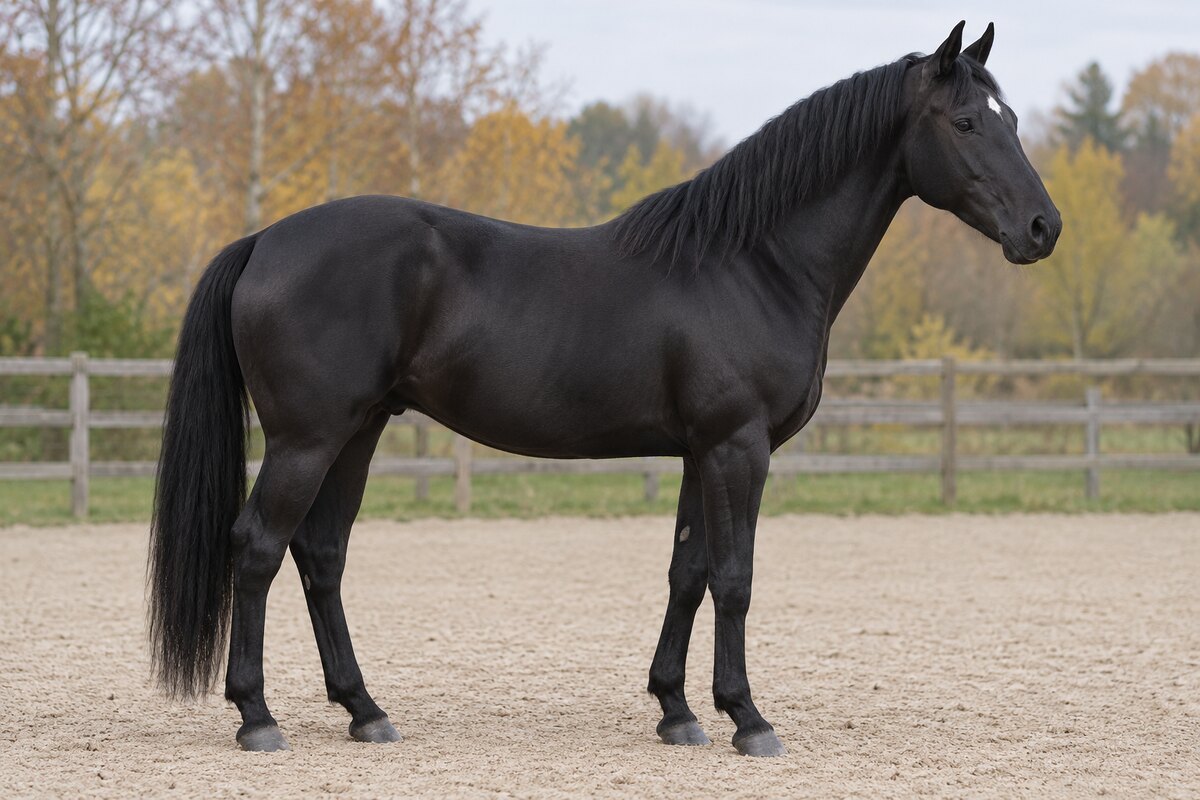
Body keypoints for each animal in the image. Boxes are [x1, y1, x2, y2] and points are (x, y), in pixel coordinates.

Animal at [149, 21, 1060, 757]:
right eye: (967, 121)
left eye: (1012, 118)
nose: (1043, 228)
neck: (753, 261)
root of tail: (265, 239)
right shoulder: (738, 446)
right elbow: (735, 577)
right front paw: (748, 719)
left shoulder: (700, 450)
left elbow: (688, 572)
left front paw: (677, 712)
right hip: (307, 438)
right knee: (258, 548)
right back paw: (258, 718)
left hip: (359, 431)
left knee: (322, 555)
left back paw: (365, 711)